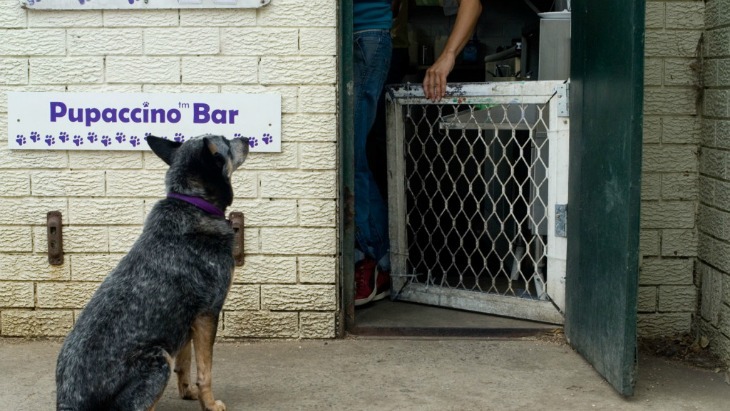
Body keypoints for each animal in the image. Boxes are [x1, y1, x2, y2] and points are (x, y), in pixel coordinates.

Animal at [56, 134, 249, 411]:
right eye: (224, 140)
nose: (246, 138)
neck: (193, 203)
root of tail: (70, 401)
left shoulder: (185, 320)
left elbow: (185, 363)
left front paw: (188, 392)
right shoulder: (207, 313)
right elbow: (205, 372)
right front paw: (210, 405)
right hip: (158, 359)